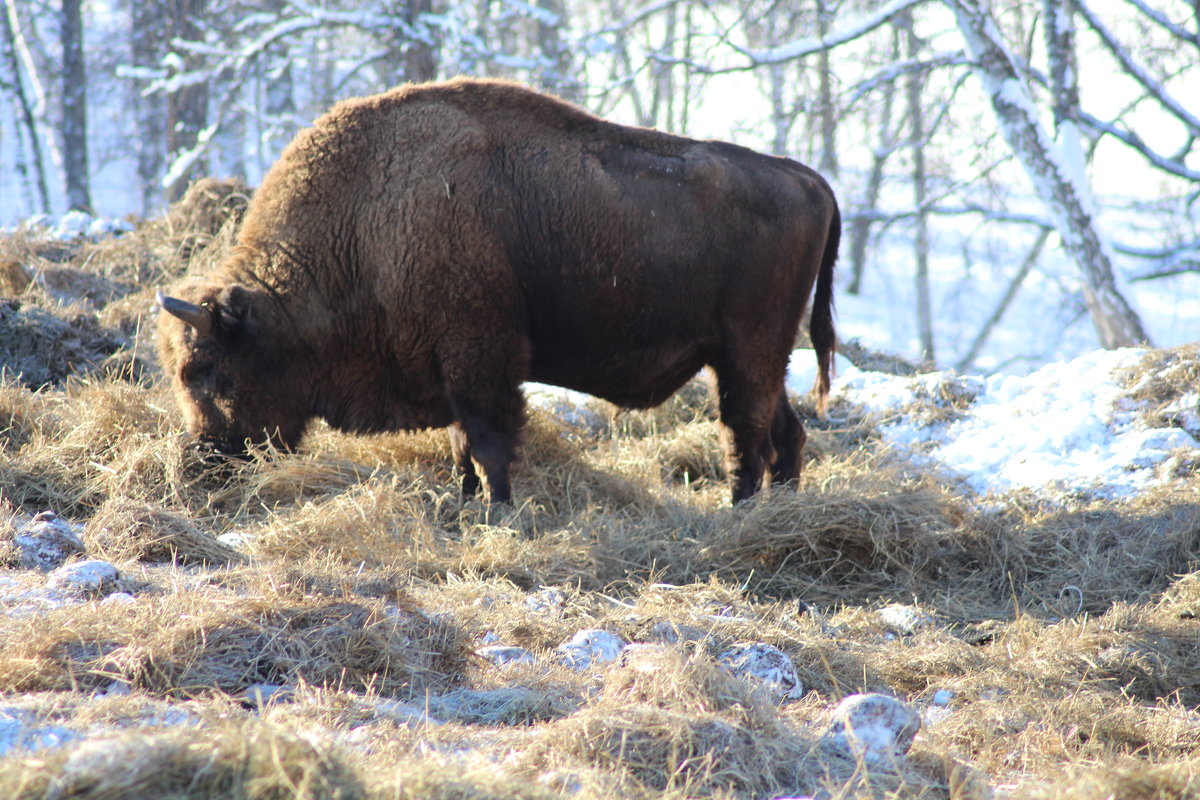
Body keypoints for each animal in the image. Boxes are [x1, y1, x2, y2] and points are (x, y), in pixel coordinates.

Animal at [154, 73, 840, 501]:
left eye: (213, 374)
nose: (204, 465)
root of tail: (806, 178)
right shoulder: (452, 368)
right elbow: (464, 446)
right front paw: (465, 506)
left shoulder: (479, 358)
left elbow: (488, 444)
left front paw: (497, 510)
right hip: (750, 356)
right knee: (783, 432)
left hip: (748, 350)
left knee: (747, 434)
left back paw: (742, 515)